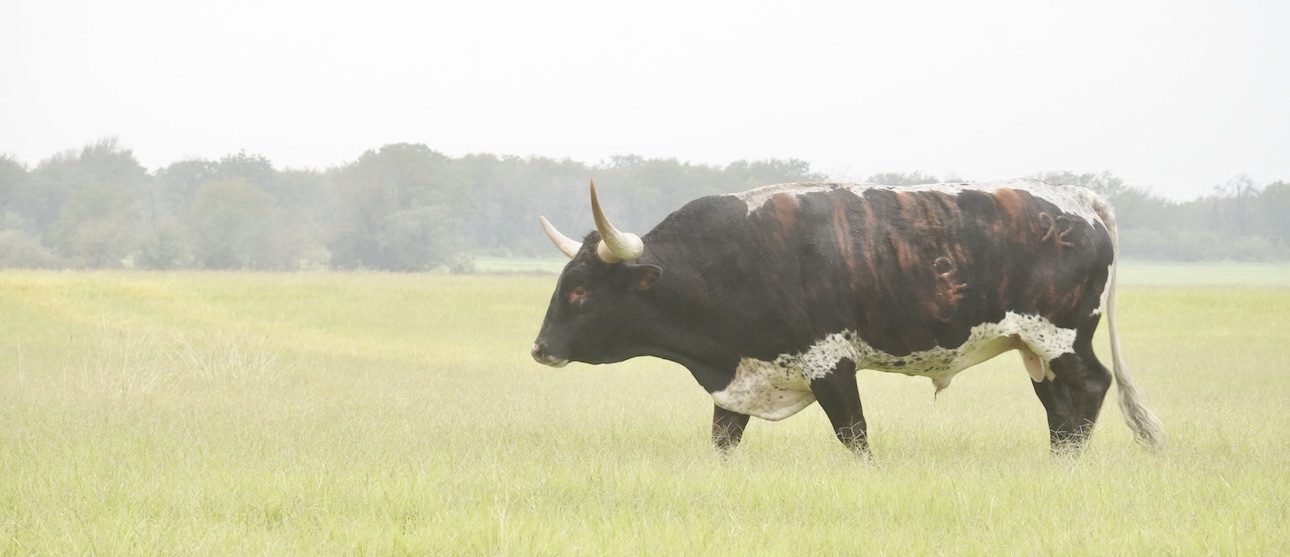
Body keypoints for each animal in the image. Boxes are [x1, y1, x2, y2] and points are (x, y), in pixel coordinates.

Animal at [528, 180, 1166, 453]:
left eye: (580, 291)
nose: (539, 349)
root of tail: (1080, 199)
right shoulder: (741, 377)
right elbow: (723, 439)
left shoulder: (828, 361)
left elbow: (853, 435)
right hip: (1033, 350)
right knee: (1059, 408)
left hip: (1060, 336)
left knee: (1091, 388)